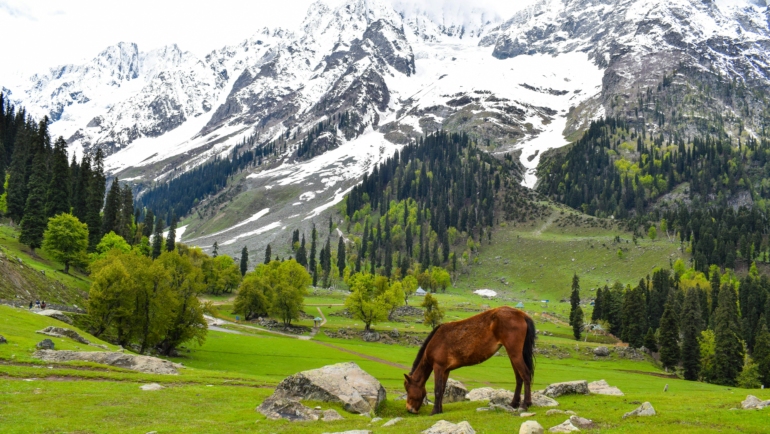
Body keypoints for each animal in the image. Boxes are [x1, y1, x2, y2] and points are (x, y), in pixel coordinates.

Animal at [402, 306, 536, 414]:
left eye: (408, 389)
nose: (409, 409)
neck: (435, 341)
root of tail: (522, 315)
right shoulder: (445, 370)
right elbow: (442, 389)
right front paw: (439, 410)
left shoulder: (438, 367)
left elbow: (437, 390)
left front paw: (434, 411)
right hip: (513, 355)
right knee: (519, 377)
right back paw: (514, 403)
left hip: (514, 353)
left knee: (525, 374)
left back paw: (525, 404)